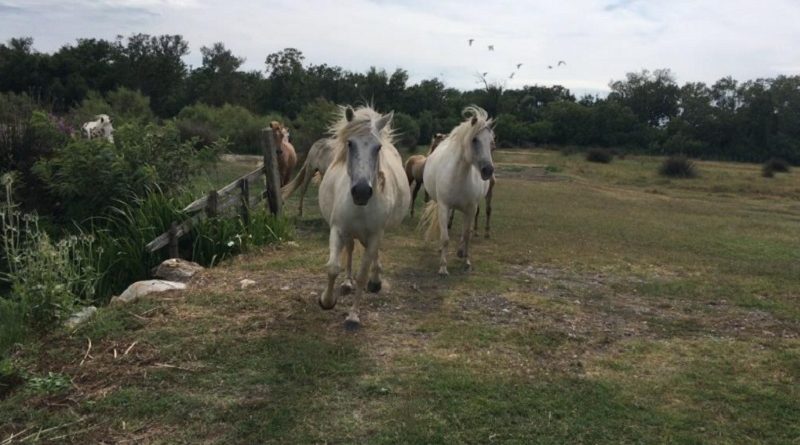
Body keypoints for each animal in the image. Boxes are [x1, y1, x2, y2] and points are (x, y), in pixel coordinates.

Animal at [318, 103, 410, 326]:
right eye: (350, 144)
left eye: (378, 148)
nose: (361, 191)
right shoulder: (338, 229)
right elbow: (333, 267)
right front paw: (327, 301)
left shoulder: (376, 234)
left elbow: (363, 274)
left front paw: (353, 315)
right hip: (350, 233)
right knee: (351, 249)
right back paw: (347, 283)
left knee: (371, 254)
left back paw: (375, 281)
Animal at [418, 106, 494, 276]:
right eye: (474, 140)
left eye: (492, 143)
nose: (488, 171)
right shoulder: (444, 206)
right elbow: (445, 237)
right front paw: (443, 267)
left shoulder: (471, 208)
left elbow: (467, 236)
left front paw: (466, 262)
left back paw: (460, 252)